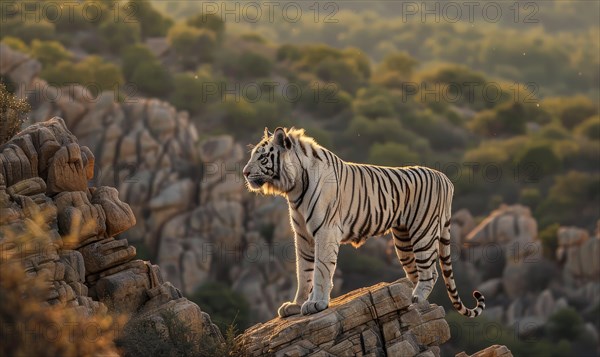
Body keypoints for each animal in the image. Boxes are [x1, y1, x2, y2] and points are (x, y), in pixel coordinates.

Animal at [241, 128, 486, 318]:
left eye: (262, 158)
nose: (244, 172)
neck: (293, 187)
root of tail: (446, 179)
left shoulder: (325, 231)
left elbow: (321, 269)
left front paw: (316, 303)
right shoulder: (302, 235)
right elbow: (304, 271)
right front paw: (296, 305)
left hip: (423, 232)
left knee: (430, 272)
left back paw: (416, 298)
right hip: (404, 239)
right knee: (420, 272)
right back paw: (413, 299)